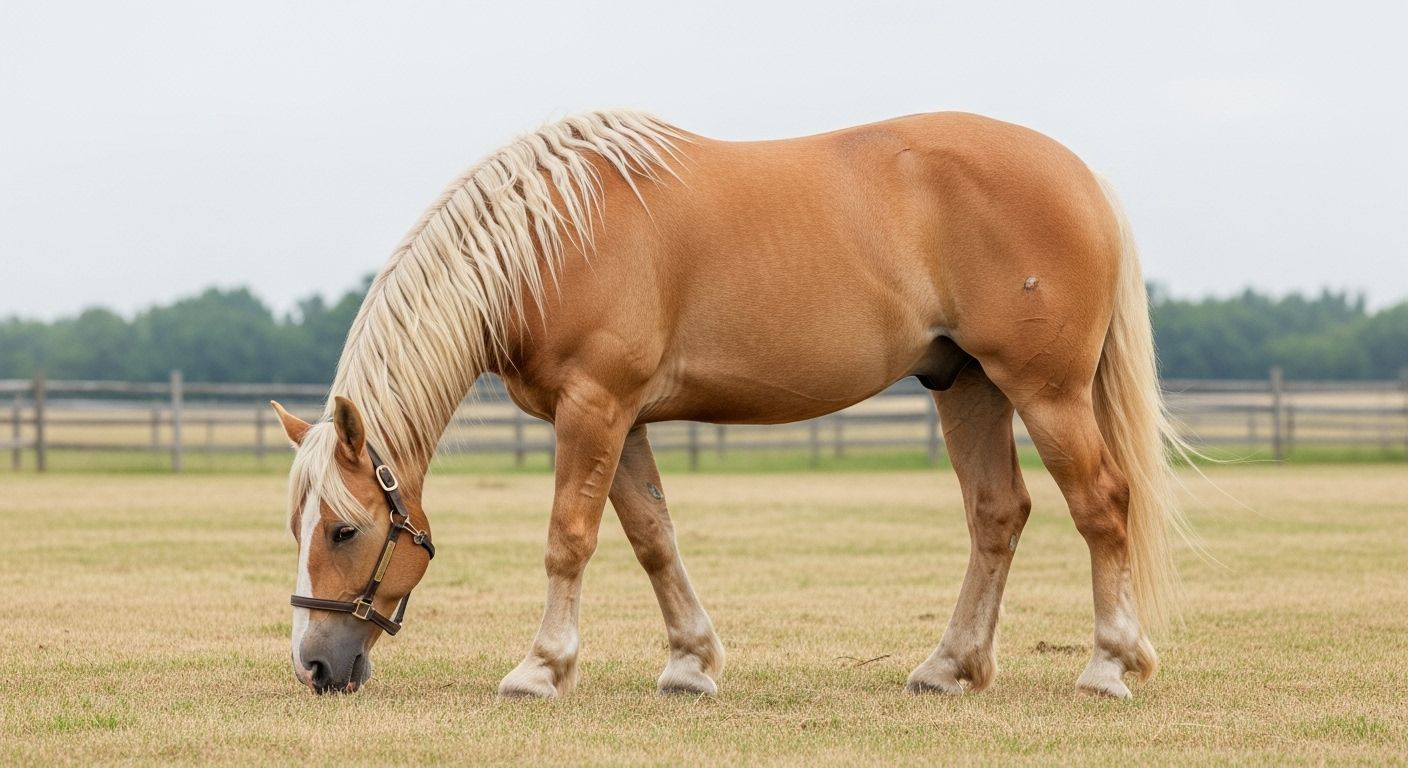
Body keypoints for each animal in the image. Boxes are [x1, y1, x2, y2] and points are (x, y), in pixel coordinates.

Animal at [272, 109, 1192, 700]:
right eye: (296, 527)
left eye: (344, 531)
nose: (313, 667)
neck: (551, 240)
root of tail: (1081, 176)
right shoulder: (624, 419)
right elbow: (651, 536)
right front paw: (690, 664)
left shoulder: (594, 407)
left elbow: (570, 538)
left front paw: (541, 669)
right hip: (966, 385)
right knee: (997, 514)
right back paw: (948, 667)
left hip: (1047, 392)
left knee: (1102, 504)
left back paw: (1109, 666)